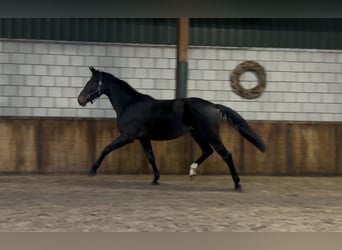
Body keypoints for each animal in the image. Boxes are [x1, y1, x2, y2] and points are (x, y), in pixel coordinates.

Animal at [77, 66, 264, 189]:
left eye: (93, 82)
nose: (80, 100)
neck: (130, 104)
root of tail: (213, 106)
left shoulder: (128, 136)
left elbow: (106, 149)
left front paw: (92, 170)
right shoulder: (143, 138)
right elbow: (151, 157)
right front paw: (155, 179)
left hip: (210, 134)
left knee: (225, 154)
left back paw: (237, 183)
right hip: (197, 134)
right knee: (207, 151)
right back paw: (192, 171)